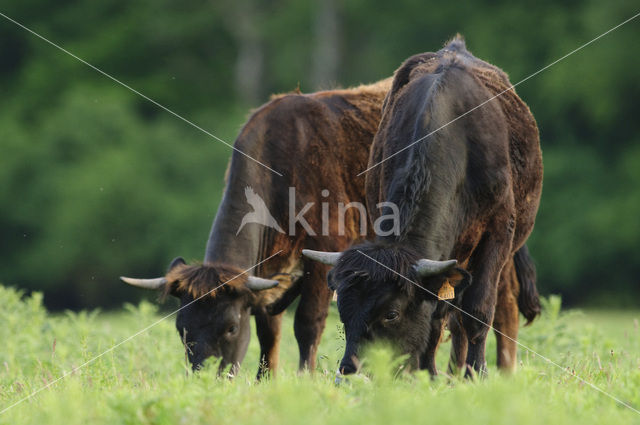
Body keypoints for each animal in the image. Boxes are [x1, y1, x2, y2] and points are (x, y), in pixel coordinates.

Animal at [302, 35, 544, 374]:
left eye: (391, 313)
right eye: (344, 312)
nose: (350, 371)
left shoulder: (498, 232)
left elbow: (478, 310)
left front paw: (476, 372)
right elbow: (436, 315)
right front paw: (427, 373)